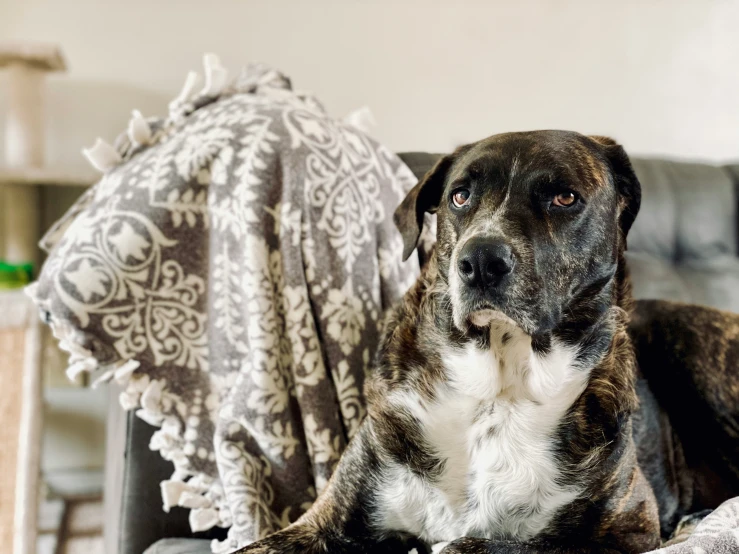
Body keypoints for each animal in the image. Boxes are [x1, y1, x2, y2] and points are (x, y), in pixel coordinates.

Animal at [237, 132, 739, 548]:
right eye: (459, 196)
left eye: (564, 197)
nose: (479, 260)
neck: (500, 384)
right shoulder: (321, 524)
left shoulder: (628, 531)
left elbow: (490, 545)